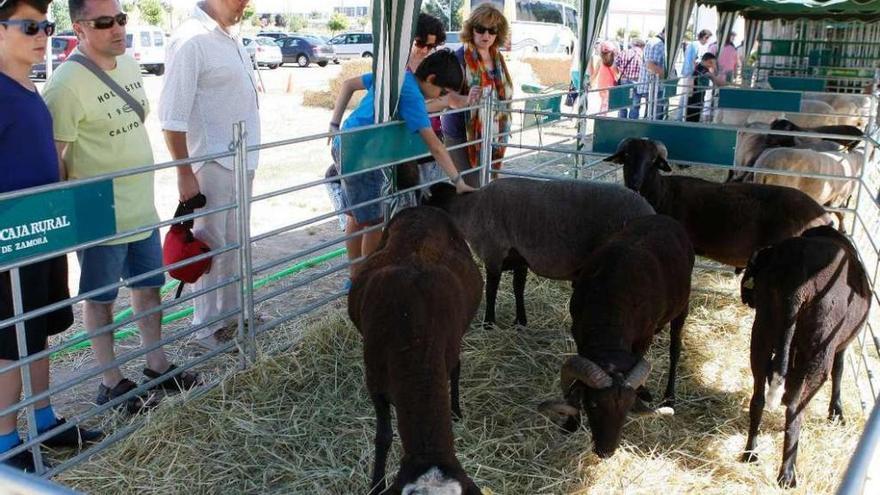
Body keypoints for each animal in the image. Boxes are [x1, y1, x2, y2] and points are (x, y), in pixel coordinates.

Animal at [422, 179, 656, 330]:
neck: (468, 208)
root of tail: (651, 212)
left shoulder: (493, 254)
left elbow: (491, 292)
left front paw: (489, 323)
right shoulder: (519, 258)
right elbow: (518, 289)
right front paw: (520, 322)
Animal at [536, 215, 696, 460]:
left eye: (628, 408)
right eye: (592, 404)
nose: (606, 452)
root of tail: (665, 218)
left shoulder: (644, 337)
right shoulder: (579, 331)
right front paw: (571, 424)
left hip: (682, 308)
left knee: (675, 349)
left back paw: (670, 396)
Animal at [740, 227, 868, 490]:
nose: (744, 296)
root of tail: (797, 283)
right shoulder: (840, 346)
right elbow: (839, 372)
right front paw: (836, 412)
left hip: (762, 331)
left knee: (758, 398)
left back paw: (750, 453)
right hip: (819, 348)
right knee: (794, 409)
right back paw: (787, 475)